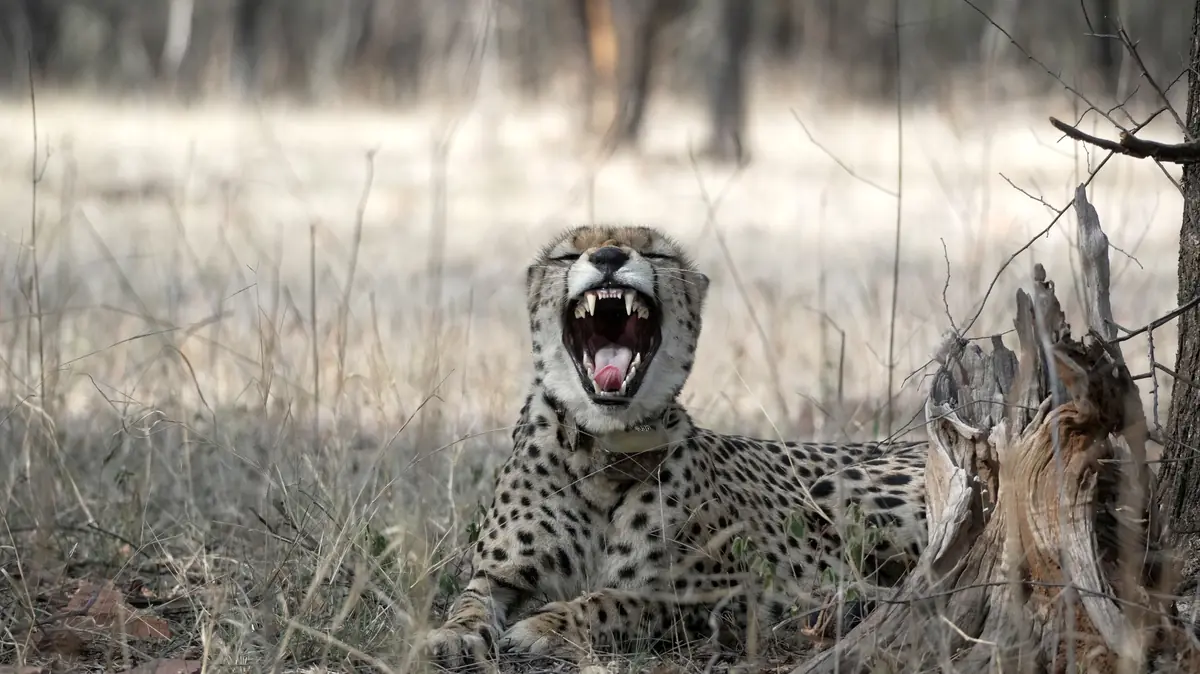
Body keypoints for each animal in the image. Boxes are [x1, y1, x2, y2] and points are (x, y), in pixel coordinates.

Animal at [424, 224, 929, 668]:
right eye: (568, 255)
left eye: (656, 254)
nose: (608, 256)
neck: (602, 452)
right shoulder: (496, 576)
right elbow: (467, 603)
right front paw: (451, 636)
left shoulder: (731, 594)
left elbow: (620, 600)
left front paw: (547, 625)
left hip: (839, 485)